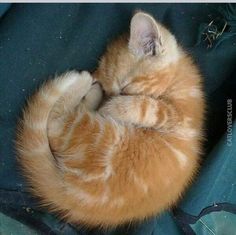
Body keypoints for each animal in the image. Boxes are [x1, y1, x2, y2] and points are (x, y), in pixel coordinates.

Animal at [15, 12, 206, 228]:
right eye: (111, 91)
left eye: (124, 89)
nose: (107, 98)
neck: (177, 79)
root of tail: (70, 195)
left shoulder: (181, 118)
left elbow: (148, 106)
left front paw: (112, 108)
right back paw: (88, 86)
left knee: (56, 121)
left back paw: (84, 82)